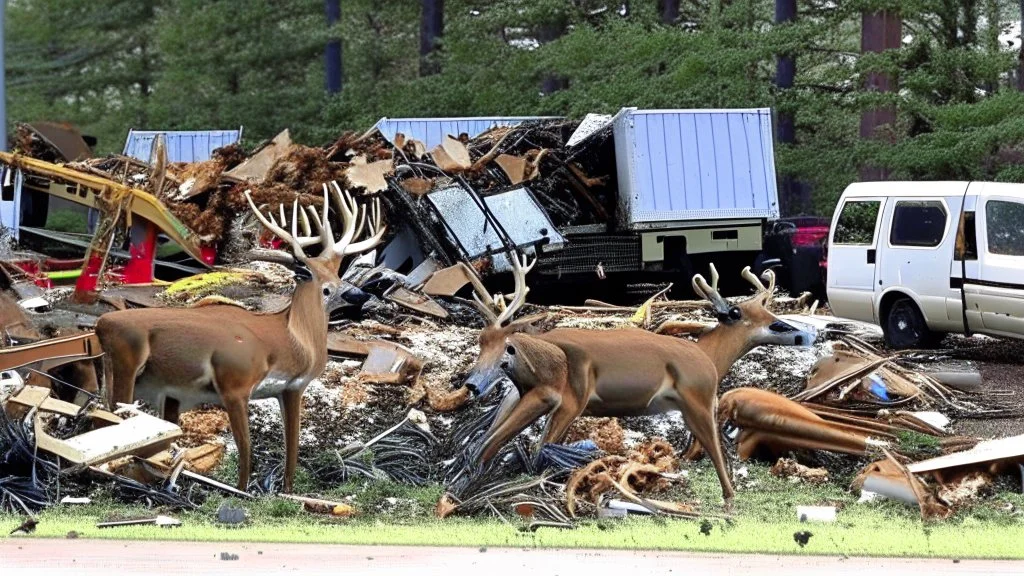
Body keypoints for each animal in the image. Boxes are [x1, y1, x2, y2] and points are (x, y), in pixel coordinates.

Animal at [95, 180, 385, 487]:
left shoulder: (285, 388)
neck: (295, 340)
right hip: (129, 369)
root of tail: (102, 325)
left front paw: (284, 489)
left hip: (152, 388)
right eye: (326, 288)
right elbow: (250, 450)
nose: (360, 294)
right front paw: (245, 491)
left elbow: (290, 450)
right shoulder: (238, 384)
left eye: (339, 274)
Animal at [460, 255, 819, 506]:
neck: (707, 355)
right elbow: (714, 450)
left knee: (485, 444)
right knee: (520, 447)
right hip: (561, 400)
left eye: (771, 314)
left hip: (521, 398)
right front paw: (729, 500)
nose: (804, 333)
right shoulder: (700, 399)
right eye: (741, 314)